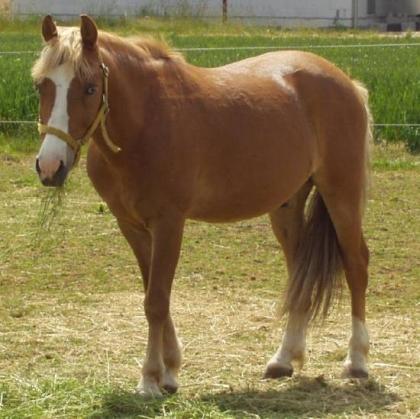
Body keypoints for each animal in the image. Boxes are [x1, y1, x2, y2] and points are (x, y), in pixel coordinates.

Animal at [34, 15, 372, 398]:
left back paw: (357, 361)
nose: (50, 167)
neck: (147, 120)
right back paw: (283, 359)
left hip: (342, 195)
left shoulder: (169, 223)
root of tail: (347, 82)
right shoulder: (131, 226)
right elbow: (153, 295)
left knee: (357, 265)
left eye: (90, 88)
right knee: (298, 272)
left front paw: (150, 379)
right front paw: (169, 372)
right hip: (287, 206)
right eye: (41, 86)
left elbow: (156, 301)